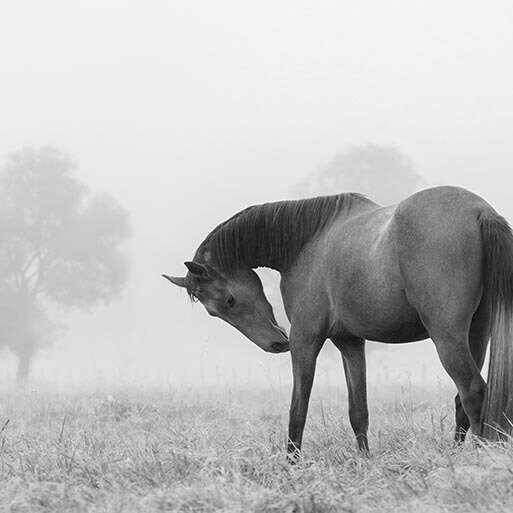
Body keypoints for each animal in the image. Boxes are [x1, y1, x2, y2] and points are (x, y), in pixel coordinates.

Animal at [163, 185, 512, 456]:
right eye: (214, 311)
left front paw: (290, 465)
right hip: (476, 334)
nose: (275, 343)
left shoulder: (305, 339)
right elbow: (358, 410)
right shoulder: (349, 342)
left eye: (229, 301)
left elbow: (297, 409)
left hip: (447, 336)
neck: (308, 241)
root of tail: (480, 211)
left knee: (473, 392)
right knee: (463, 401)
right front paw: (365, 461)